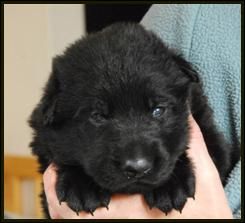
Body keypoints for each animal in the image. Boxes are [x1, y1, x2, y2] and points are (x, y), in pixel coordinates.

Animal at [29, 22, 239, 218]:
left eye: (158, 110)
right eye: (97, 116)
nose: (138, 167)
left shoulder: (211, 135)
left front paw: (171, 186)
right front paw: (81, 187)